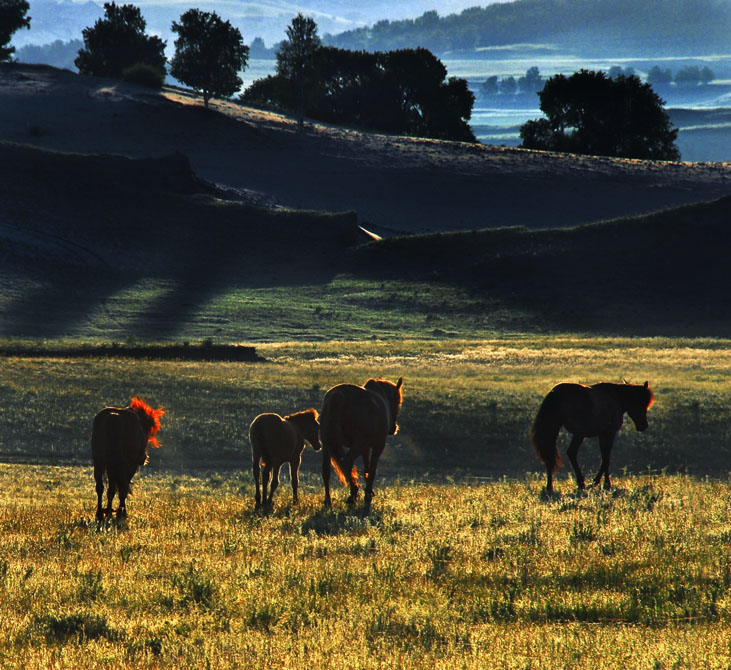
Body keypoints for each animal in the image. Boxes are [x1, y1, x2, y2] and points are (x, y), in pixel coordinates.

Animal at [91, 396, 164, 524]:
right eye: (146, 431)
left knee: (101, 488)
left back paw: (100, 512)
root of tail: (113, 418)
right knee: (116, 488)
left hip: (99, 463)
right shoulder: (130, 466)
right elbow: (123, 489)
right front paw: (121, 512)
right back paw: (112, 512)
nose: (144, 457)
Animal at [318, 378, 404, 516]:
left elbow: (366, 470)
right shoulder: (377, 446)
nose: (393, 428)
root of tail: (338, 396)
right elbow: (372, 471)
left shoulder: (365, 448)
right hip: (358, 444)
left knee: (326, 471)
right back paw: (353, 494)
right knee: (347, 462)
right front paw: (368, 496)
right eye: (397, 402)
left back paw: (328, 501)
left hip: (327, 445)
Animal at [528, 380, 656, 496]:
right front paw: (602, 483)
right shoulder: (609, 433)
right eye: (641, 403)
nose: (643, 426)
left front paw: (602, 483)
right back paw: (581, 483)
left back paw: (550, 487)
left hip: (554, 430)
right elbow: (606, 458)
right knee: (571, 452)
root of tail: (555, 393)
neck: (615, 398)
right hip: (578, 434)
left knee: (549, 456)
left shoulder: (601, 435)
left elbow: (604, 457)